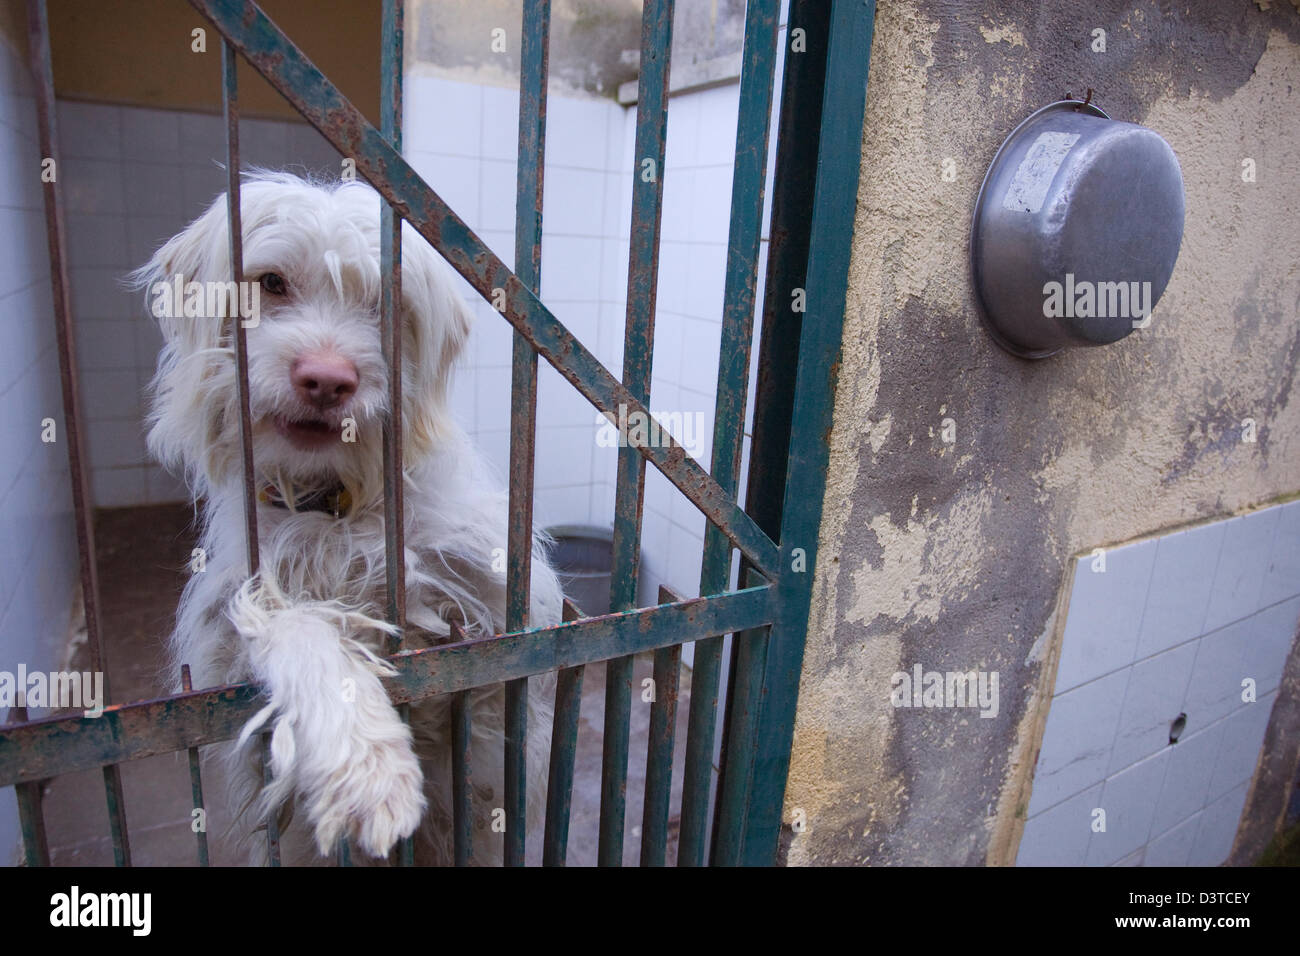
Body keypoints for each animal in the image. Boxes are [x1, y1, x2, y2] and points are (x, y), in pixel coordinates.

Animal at [137, 171, 564, 868]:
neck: (338, 506)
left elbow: (490, 669)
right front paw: (368, 766)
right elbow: (295, 628)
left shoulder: (501, 618)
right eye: (271, 282)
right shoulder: (226, 646)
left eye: (384, 305)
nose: (327, 380)